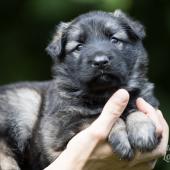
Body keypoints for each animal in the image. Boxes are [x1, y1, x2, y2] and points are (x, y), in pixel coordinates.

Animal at [0, 10, 159, 170]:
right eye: (79, 47)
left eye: (114, 40)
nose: (100, 62)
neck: (104, 94)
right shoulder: (60, 132)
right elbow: (97, 117)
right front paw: (121, 138)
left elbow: (137, 109)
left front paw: (142, 131)